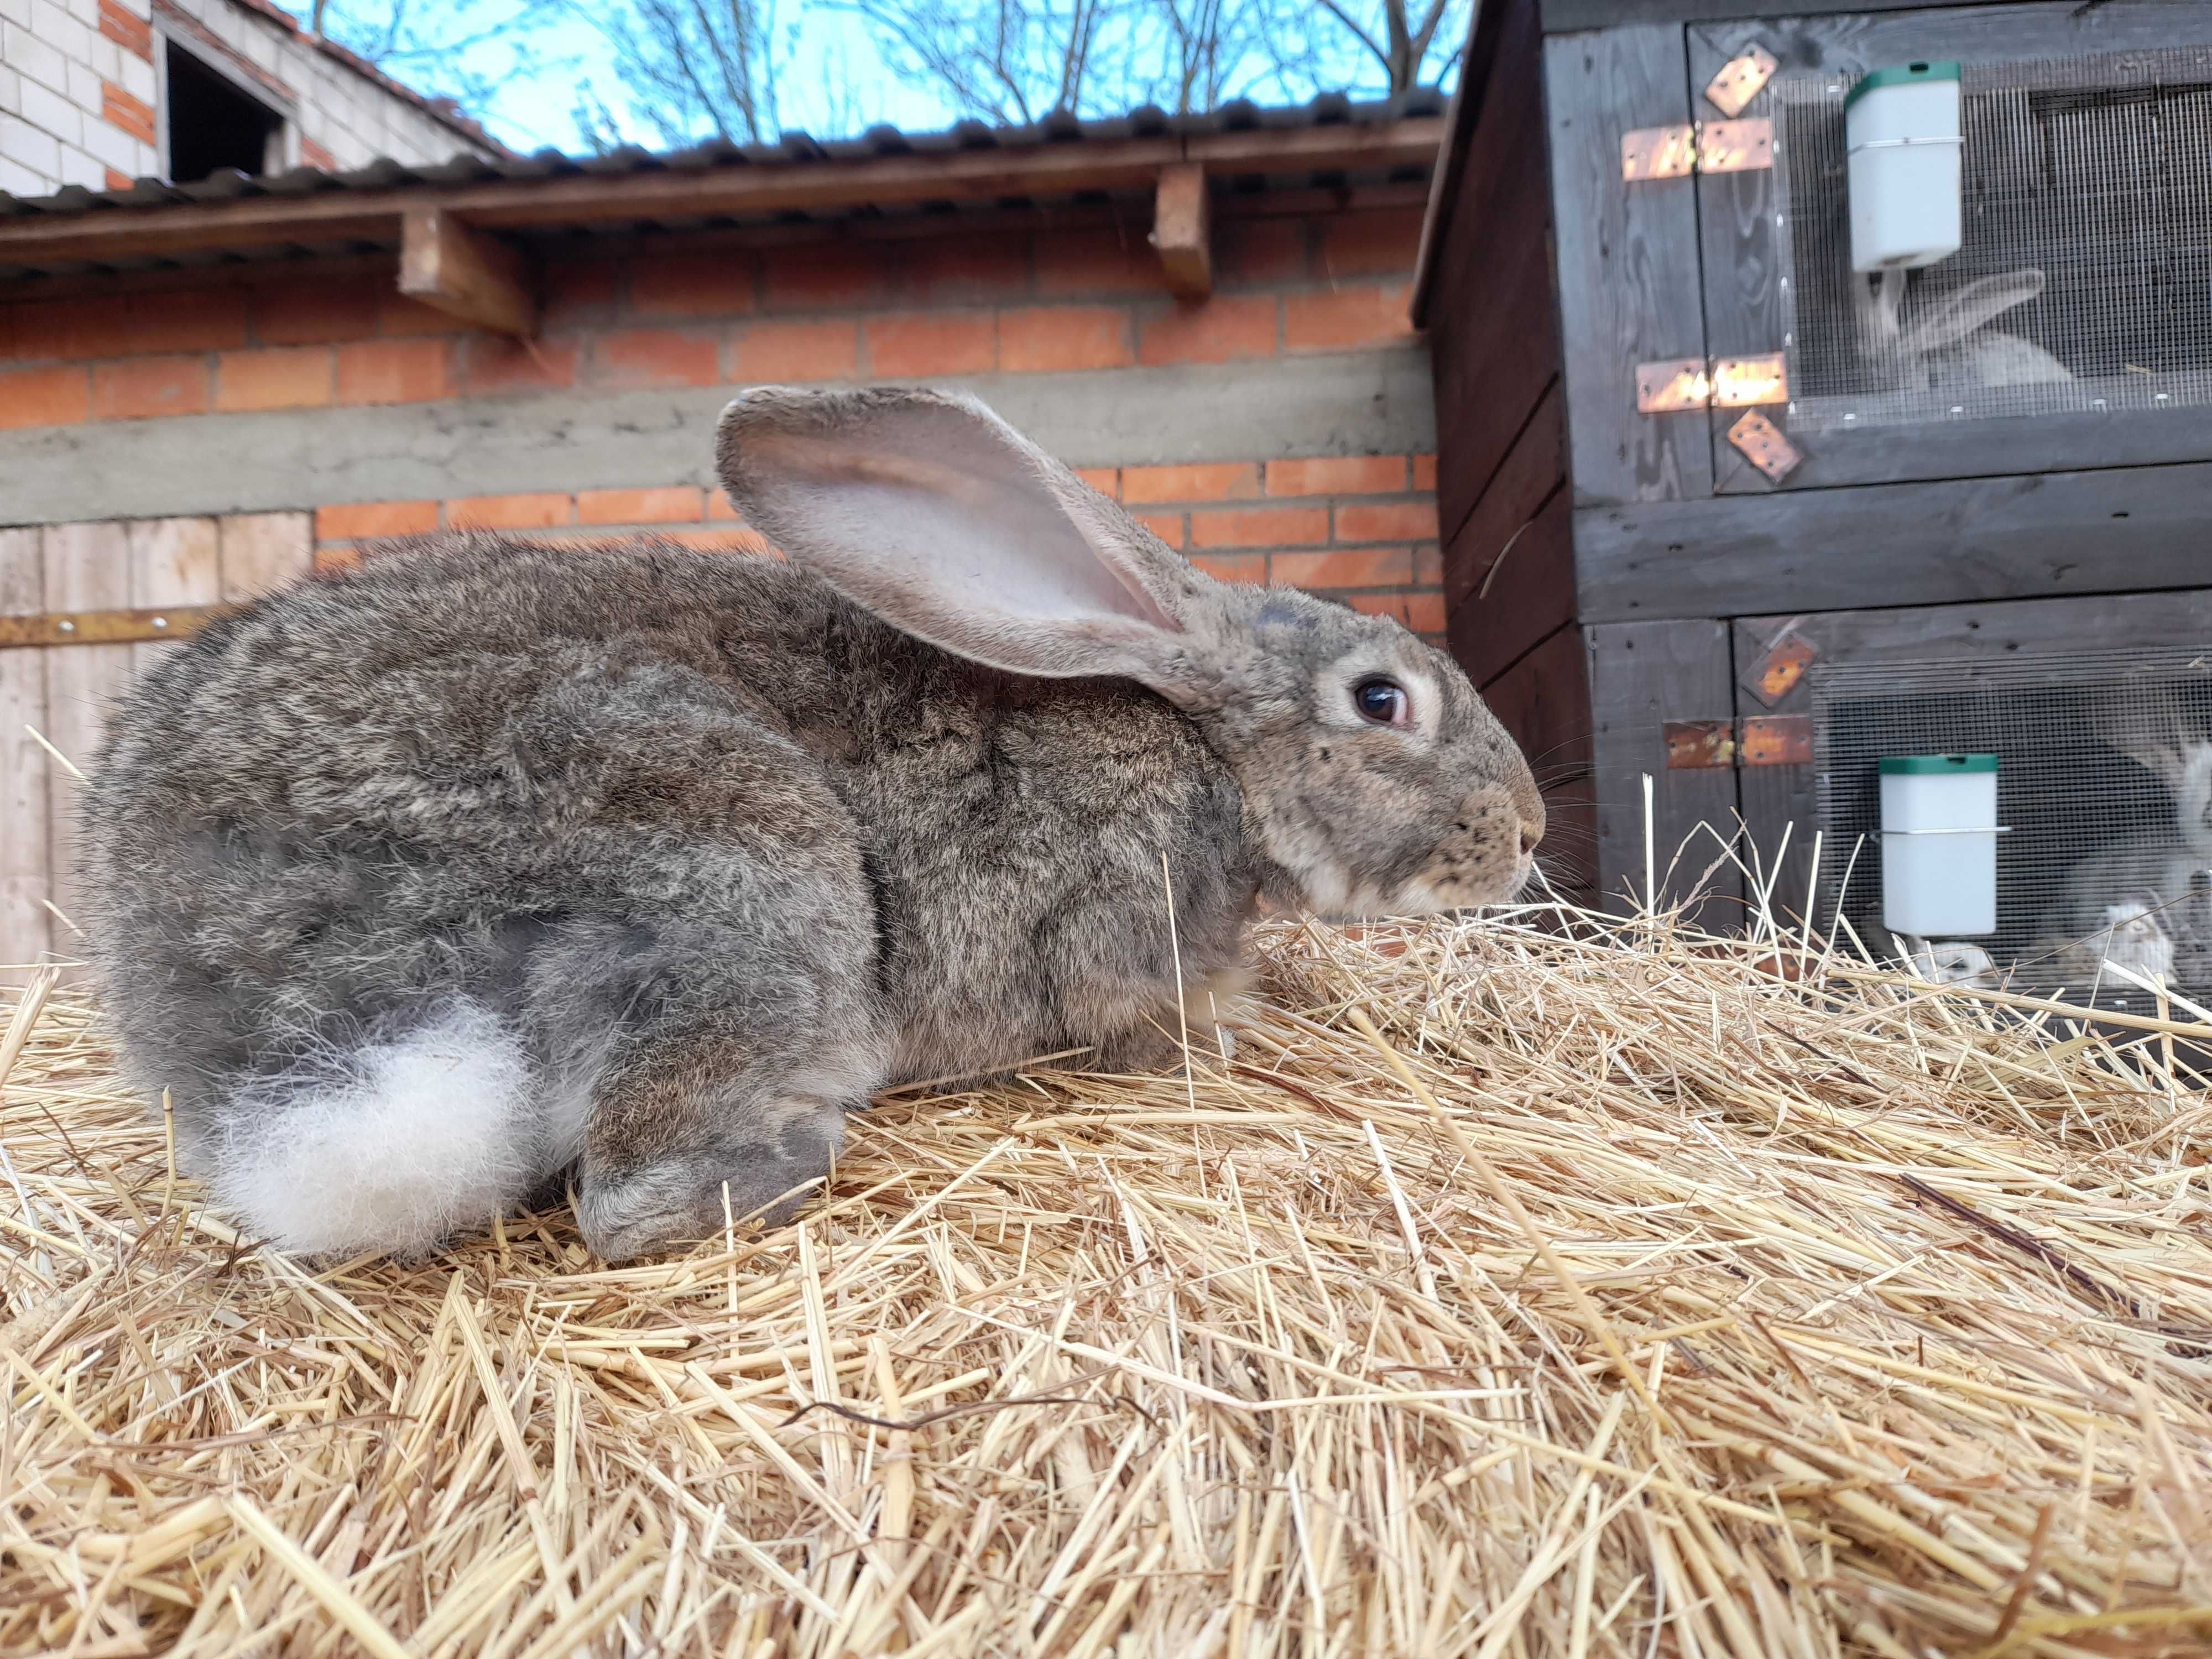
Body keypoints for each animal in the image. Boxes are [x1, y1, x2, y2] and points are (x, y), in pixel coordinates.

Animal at [78, 389, 1548, 1265]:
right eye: (1380, 700)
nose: (1529, 830)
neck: (1208, 750)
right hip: (739, 856)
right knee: (625, 1194)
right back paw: (800, 1151)